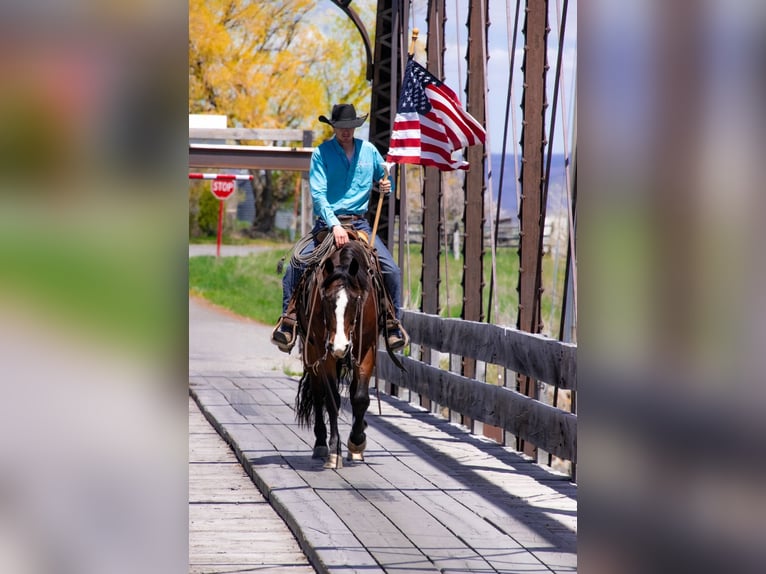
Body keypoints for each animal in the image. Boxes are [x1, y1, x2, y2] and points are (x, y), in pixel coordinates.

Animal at [292, 241, 380, 470]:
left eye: (356, 300)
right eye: (326, 300)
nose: (340, 346)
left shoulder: (366, 349)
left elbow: (360, 398)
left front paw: (357, 442)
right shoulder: (325, 354)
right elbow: (332, 400)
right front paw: (334, 450)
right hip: (311, 353)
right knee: (317, 394)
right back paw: (321, 444)